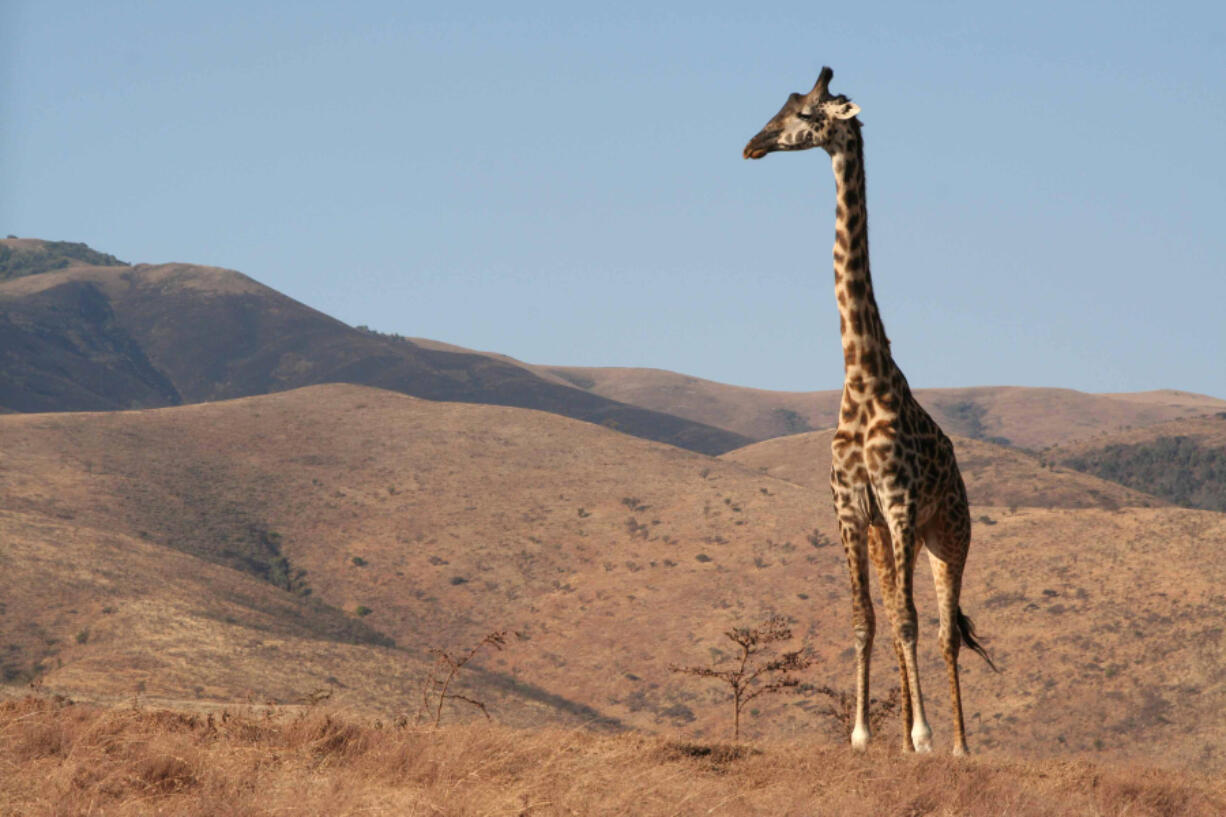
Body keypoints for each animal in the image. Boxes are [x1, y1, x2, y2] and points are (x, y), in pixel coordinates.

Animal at [735, 66, 995, 755]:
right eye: (784, 104)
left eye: (807, 113)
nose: (752, 145)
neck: (860, 375)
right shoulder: (853, 511)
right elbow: (865, 619)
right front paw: (864, 735)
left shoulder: (901, 505)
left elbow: (907, 621)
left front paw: (926, 735)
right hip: (887, 537)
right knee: (902, 614)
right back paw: (905, 735)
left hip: (948, 533)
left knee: (943, 630)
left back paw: (956, 744)